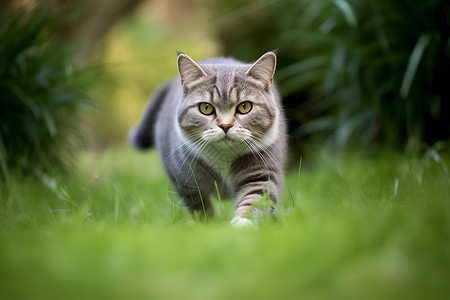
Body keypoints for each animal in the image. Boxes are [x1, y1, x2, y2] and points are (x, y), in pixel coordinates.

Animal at [128, 51, 286, 226]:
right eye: (206, 107)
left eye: (245, 106)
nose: (225, 125)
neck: (224, 158)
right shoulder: (184, 180)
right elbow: (199, 205)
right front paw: (206, 224)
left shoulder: (261, 170)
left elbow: (256, 198)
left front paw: (242, 224)